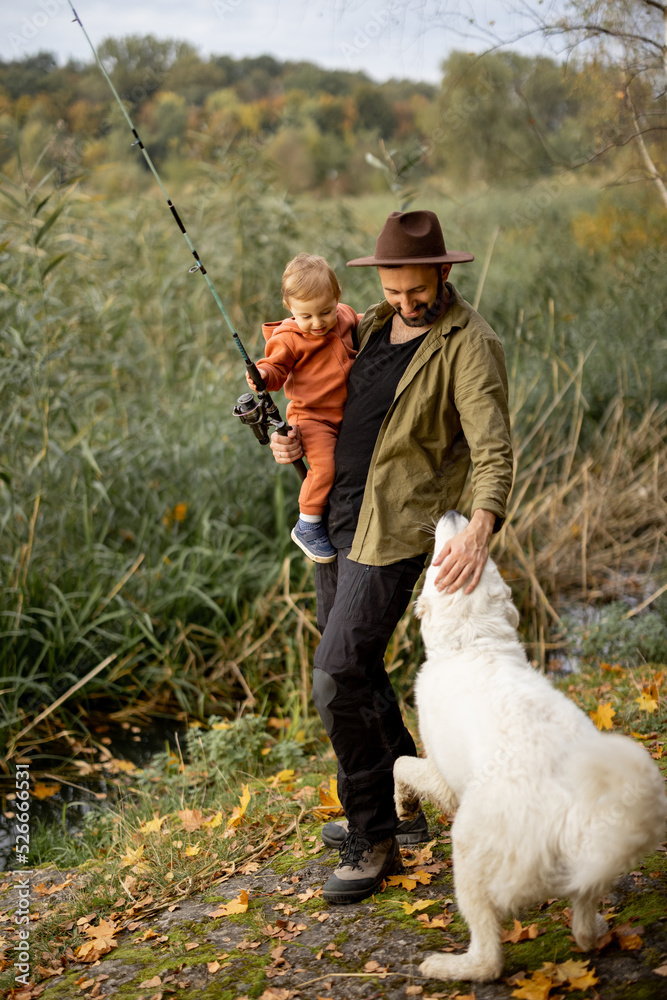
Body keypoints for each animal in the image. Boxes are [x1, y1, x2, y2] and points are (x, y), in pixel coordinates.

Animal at [394, 512, 664, 980]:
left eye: (442, 558)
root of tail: (570, 812)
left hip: (469, 849)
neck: (473, 643)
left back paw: (448, 967)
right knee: (583, 922)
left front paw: (404, 806)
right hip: (587, 864)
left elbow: (400, 764)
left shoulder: (442, 775)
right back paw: (597, 928)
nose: (454, 514)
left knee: (489, 957)